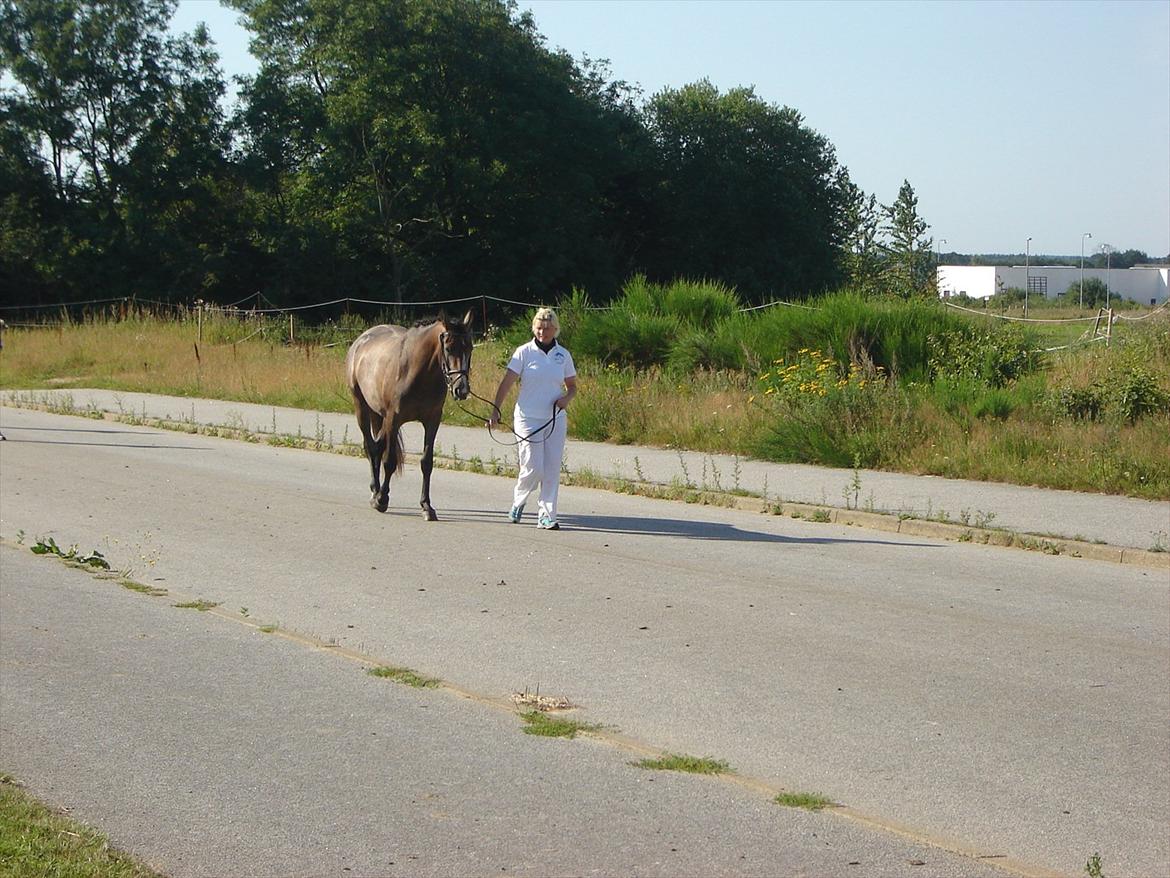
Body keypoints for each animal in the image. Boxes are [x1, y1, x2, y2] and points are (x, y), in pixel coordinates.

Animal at [343, 313, 472, 519]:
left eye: (470, 348)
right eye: (449, 348)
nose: (462, 389)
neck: (418, 372)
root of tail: (361, 340)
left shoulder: (432, 421)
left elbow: (427, 462)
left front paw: (426, 506)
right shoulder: (393, 420)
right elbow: (389, 461)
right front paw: (382, 500)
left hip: (379, 416)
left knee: (377, 447)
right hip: (362, 408)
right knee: (371, 448)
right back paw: (375, 491)